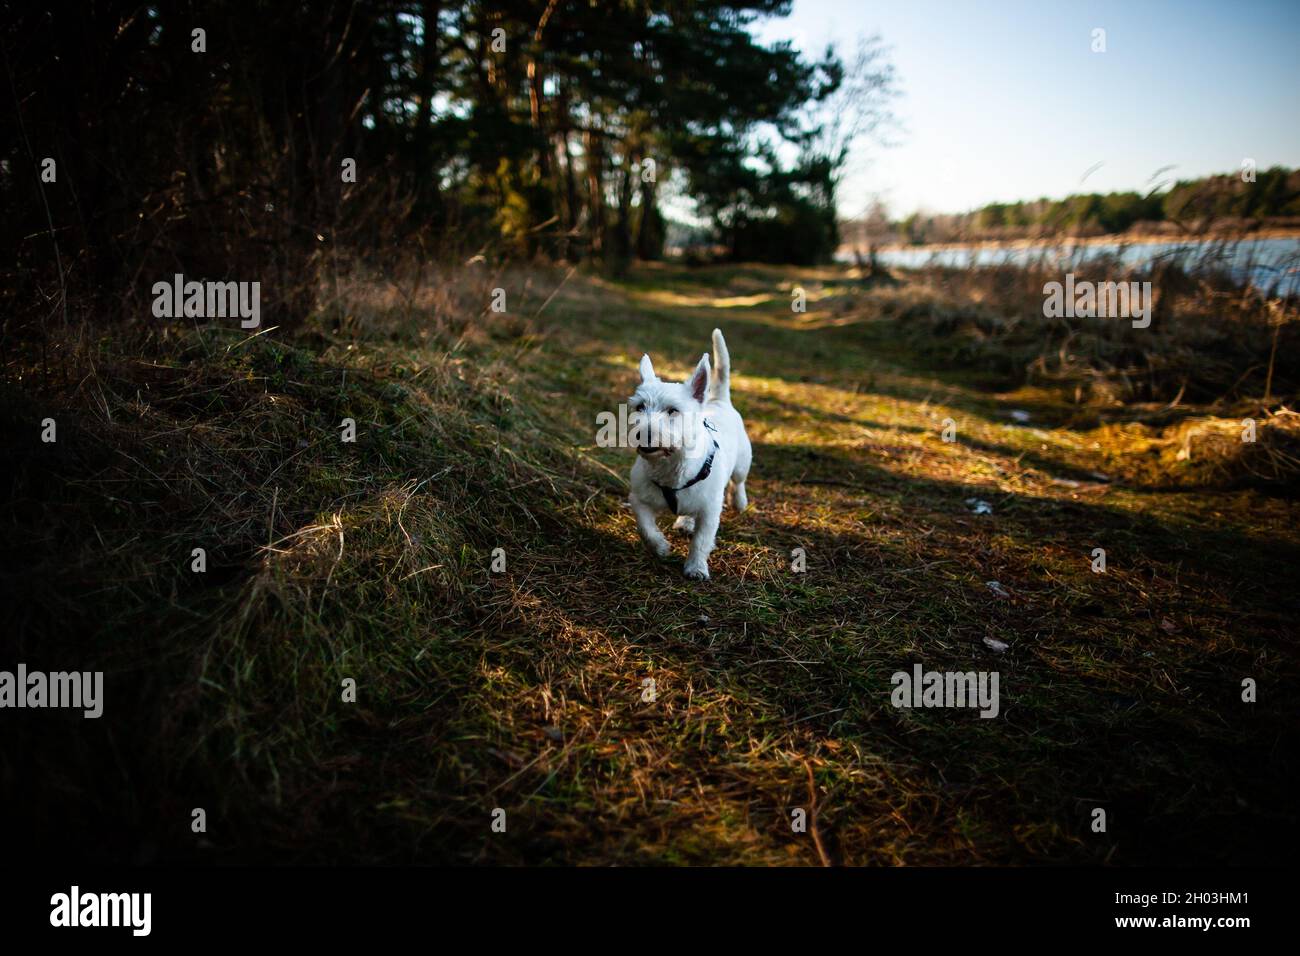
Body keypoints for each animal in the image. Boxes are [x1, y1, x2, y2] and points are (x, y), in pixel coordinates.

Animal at [626, 330, 754, 574]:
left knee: (739, 481)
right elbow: (645, 526)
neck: (671, 463)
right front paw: (660, 546)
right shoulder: (639, 498)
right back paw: (685, 522)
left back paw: (739, 501)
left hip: (742, 463)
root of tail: (720, 401)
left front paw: (696, 567)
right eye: (639, 407)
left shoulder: (710, 511)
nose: (642, 434)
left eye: (672, 410)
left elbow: (701, 540)